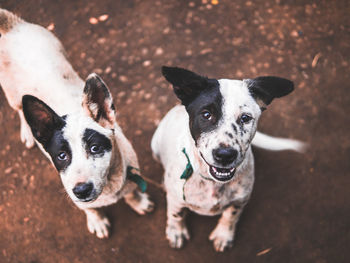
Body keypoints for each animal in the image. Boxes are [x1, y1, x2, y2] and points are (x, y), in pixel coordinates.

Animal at [0, 8, 153, 239]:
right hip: (12, 94)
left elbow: (131, 193)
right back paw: (27, 132)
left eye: (95, 148)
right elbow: (90, 209)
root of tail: (13, 26)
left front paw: (138, 202)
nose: (81, 190)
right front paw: (97, 220)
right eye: (61, 156)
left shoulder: (130, 177)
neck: (109, 186)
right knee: (19, 110)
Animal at [152, 65, 304, 252]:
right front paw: (176, 231)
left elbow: (230, 217)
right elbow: (176, 214)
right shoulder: (177, 200)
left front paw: (224, 235)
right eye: (206, 114)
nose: (225, 155)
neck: (213, 183)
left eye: (245, 118)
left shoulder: (240, 201)